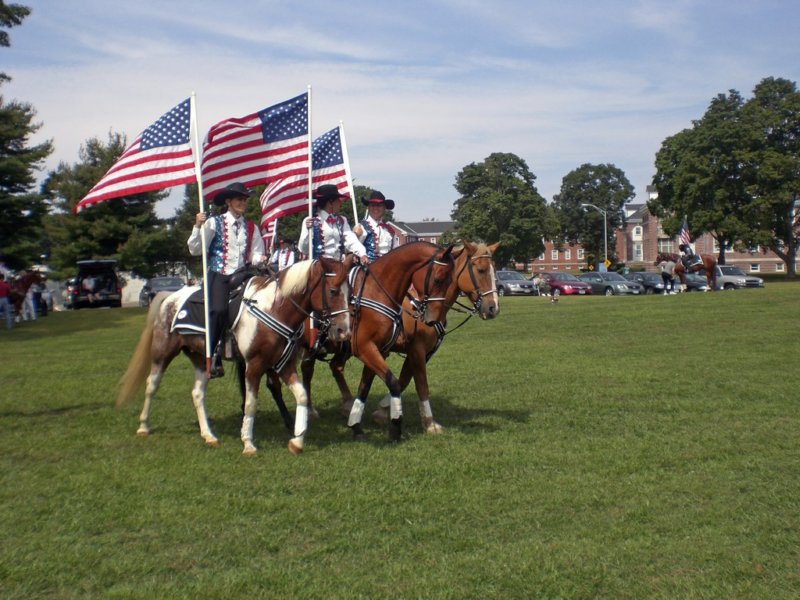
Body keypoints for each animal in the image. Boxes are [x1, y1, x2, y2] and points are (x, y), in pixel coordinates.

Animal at [115, 256, 350, 454]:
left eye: (349, 293)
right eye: (332, 291)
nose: (344, 331)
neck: (275, 310)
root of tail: (169, 297)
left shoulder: (284, 365)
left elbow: (301, 395)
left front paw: (297, 441)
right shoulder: (254, 366)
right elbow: (251, 404)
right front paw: (248, 443)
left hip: (201, 359)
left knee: (197, 394)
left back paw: (208, 435)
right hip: (162, 354)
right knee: (151, 385)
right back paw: (143, 426)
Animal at [296, 241, 456, 442]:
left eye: (450, 281)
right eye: (438, 279)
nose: (434, 318)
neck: (377, 293)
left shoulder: (378, 350)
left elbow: (365, 388)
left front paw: (356, 425)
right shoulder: (367, 348)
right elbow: (396, 382)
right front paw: (395, 426)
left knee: (329, 367)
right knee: (307, 369)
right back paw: (309, 411)